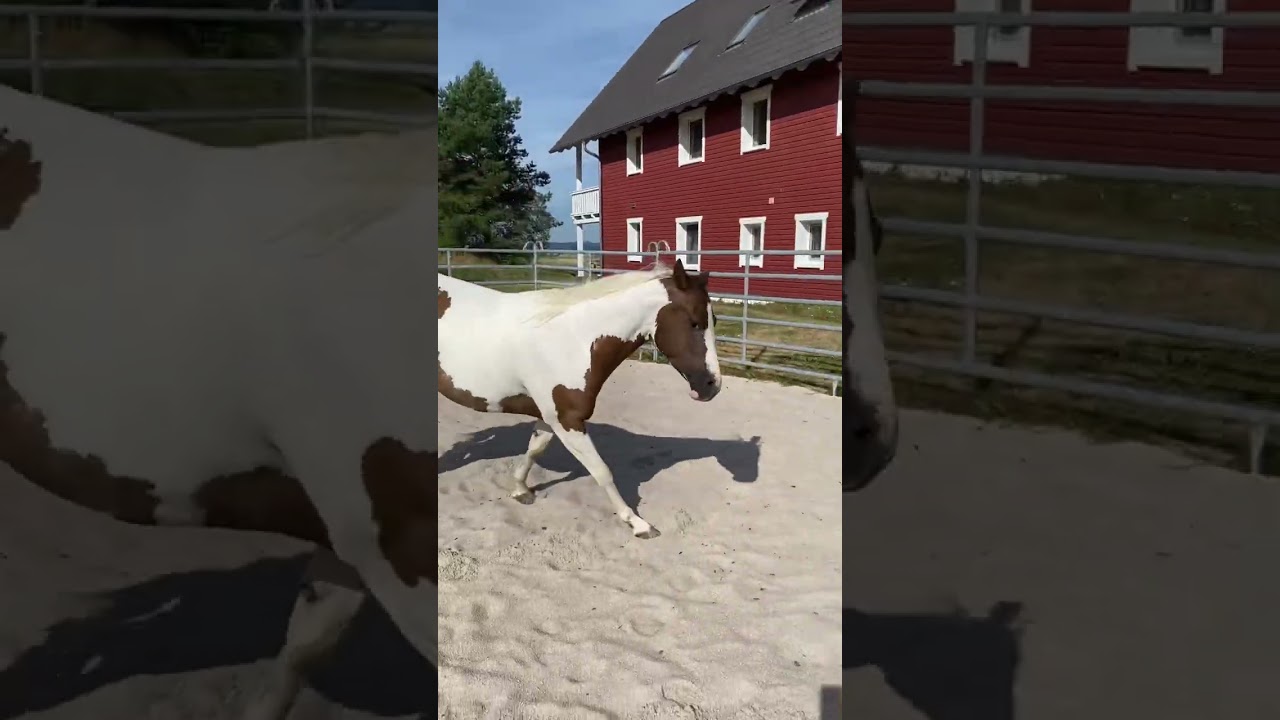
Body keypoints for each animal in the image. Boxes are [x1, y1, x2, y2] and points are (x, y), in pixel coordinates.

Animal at [437, 258, 722, 539]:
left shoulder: (550, 417)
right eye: (694, 322)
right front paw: (637, 523)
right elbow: (602, 472)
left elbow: (534, 450)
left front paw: (520, 490)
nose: (712, 386)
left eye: (714, 320)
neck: (573, 339)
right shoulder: (569, 421)